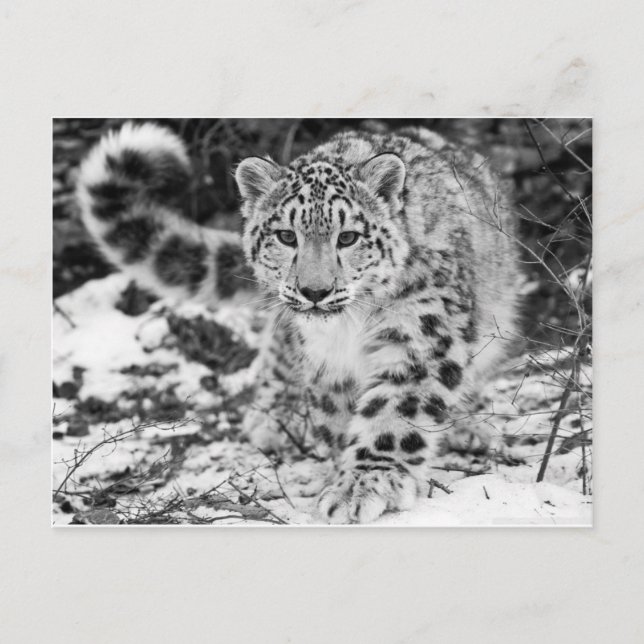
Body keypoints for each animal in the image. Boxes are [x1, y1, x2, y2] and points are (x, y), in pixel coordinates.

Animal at [76, 121, 519, 524]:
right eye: (286, 236)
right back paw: (273, 417)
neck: (349, 329)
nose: (314, 290)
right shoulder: (325, 361)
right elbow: (337, 417)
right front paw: (342, 473)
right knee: (277, 348)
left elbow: (395, 410)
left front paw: (365, 483)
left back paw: (467, 428)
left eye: (348, 237)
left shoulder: (420, 334)